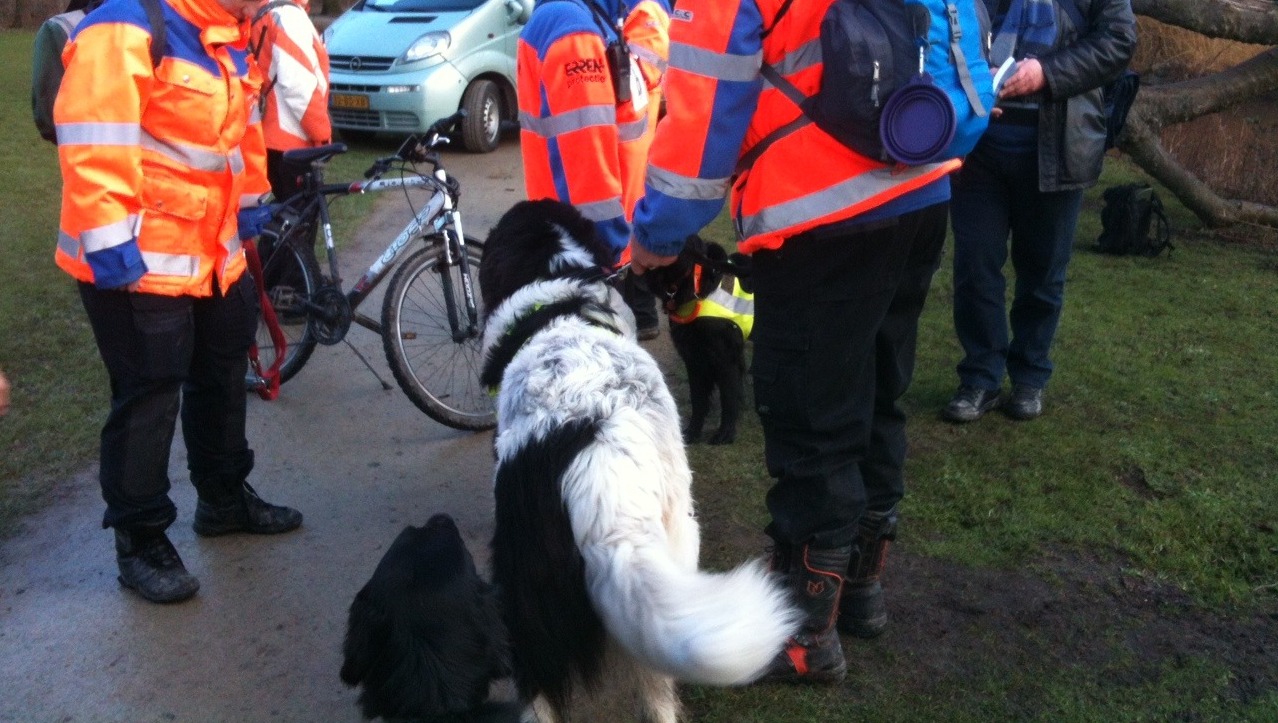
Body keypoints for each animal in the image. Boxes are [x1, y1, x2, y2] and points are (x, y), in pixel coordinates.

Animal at [649, 237, 746, 444]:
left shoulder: (725, 359)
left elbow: (729, 398)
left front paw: (725, 433)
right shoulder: (693, 357)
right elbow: (698, 399)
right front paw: (692, 432)